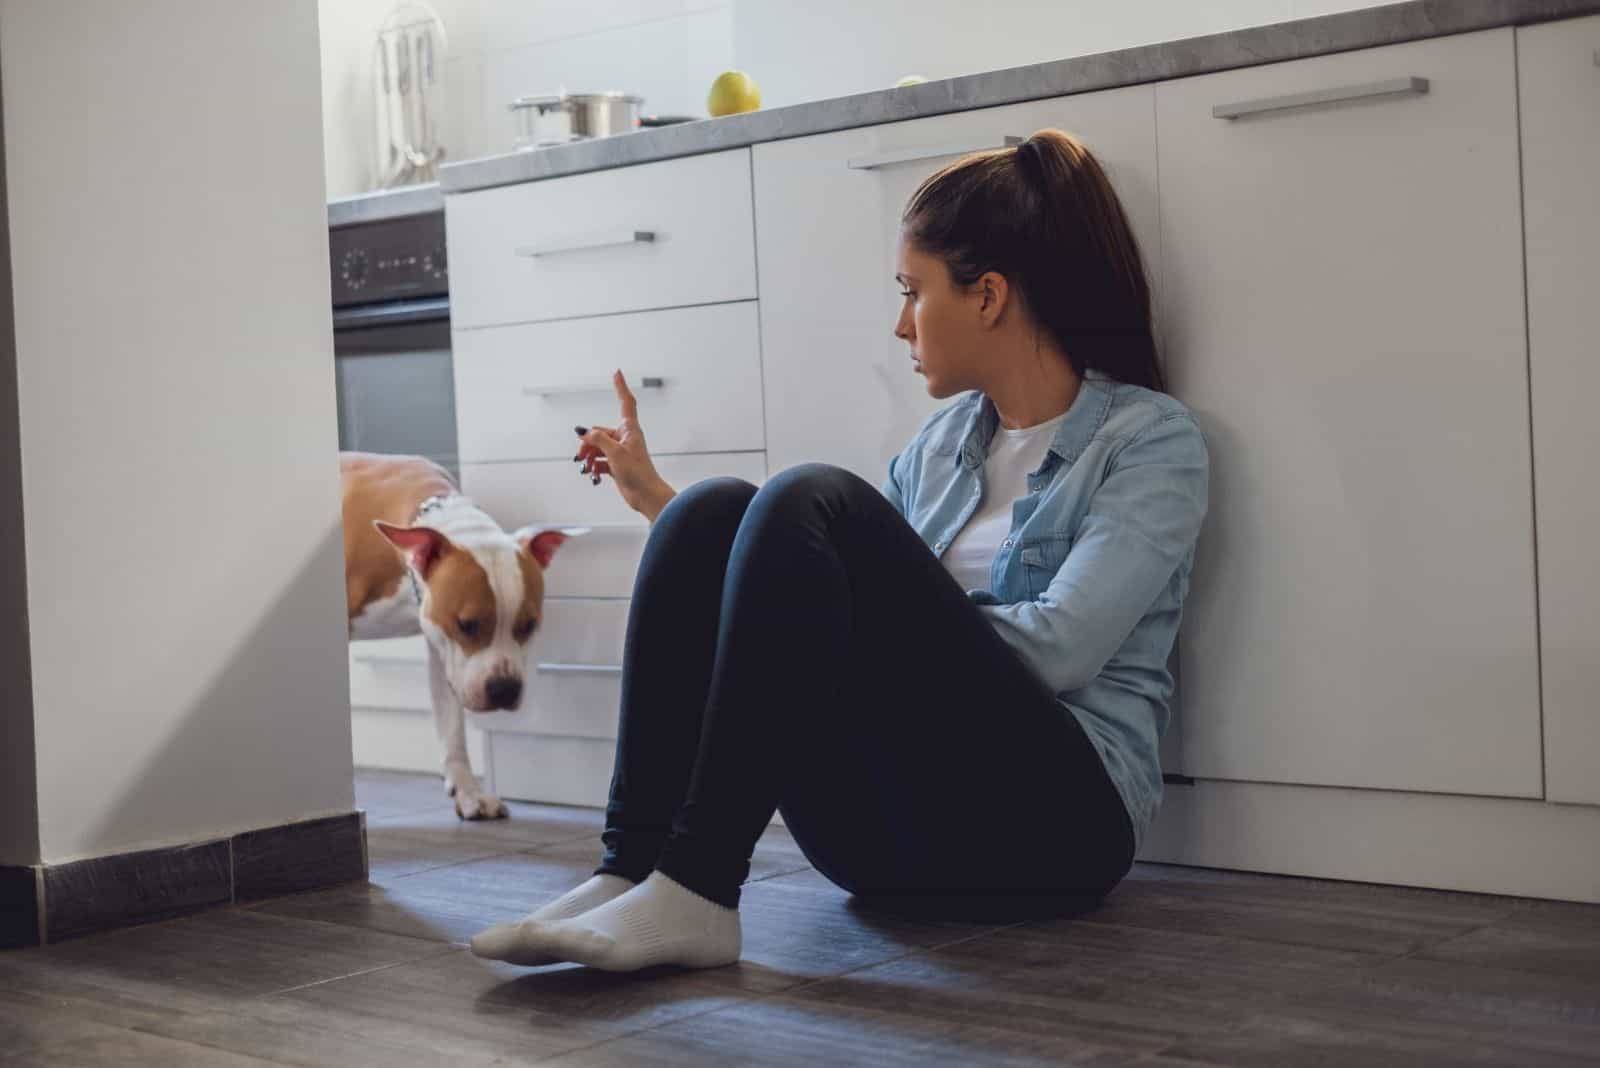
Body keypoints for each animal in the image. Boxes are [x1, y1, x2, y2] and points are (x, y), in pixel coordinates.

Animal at [340, 450, 579, 818]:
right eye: (467, 624)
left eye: (528, 625)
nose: (504, 689)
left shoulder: (441, 645)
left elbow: (452, 725)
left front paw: (469, 793)